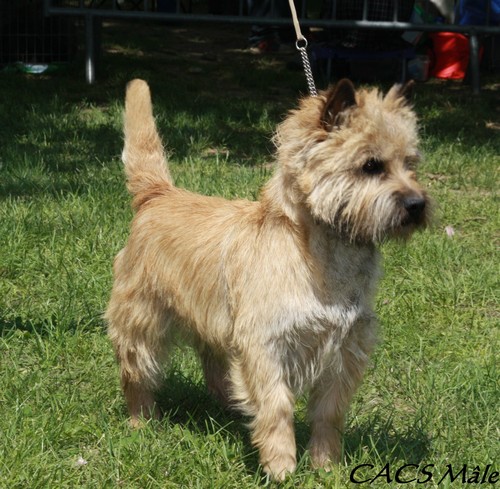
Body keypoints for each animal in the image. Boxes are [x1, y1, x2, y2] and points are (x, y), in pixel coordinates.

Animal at [105, 78, 430, 478]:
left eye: (410, 164)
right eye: (371, 165)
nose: (417, 204)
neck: (324, 259)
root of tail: (158, 194)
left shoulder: (345, 348)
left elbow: (329, 412)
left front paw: (326, 466)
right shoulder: (266, 344)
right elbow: (277, 406)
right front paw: (281, 467)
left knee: (214, 363)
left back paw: (231, 407)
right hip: (141, 317)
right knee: (137, 370)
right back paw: (143, 422)